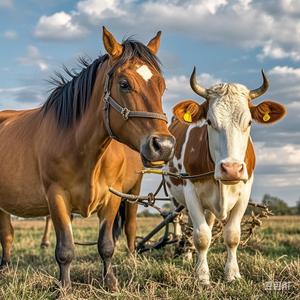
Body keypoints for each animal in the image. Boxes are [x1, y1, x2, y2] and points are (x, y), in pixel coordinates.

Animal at [0, 27, 175, 290]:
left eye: (161, 85)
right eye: (124, 84)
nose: (163, 146)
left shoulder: (113, 197)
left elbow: (106, 245)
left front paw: (110, 282)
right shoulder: (57, 196)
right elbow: (65, 249)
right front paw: (63, 287)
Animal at [166, 68, 286, 284]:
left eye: (249, 122)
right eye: (209, 121)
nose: (231, 169)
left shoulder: (244, 192)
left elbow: (232, 235)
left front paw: (232, 274)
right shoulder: (190, 191)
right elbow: (202, 236)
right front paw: (202, 276)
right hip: (175, 196)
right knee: (181, 222)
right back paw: (186, 254)